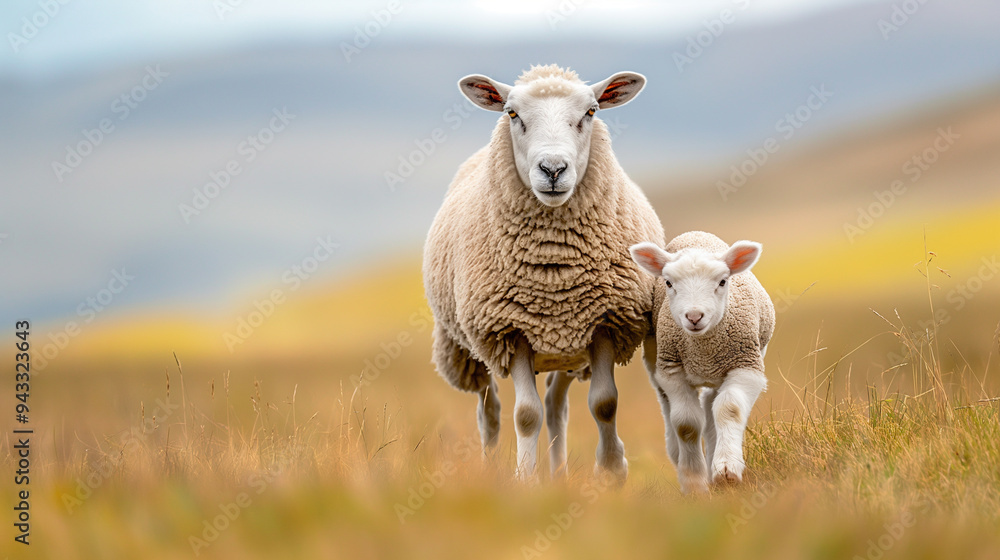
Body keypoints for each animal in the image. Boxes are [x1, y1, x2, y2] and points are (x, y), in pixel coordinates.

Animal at [423, 64, 664, 482]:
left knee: (555, 405)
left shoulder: (603, 323)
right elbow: (525, 414)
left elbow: (604, 404)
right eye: (512, 113)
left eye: (591, 112)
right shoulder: (510, 329)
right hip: (474, 347)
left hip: (565, 347)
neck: (554, 271)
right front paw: (525, 479)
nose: (553, 169)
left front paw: (612, 472)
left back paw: (560, 474)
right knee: (490, 411)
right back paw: (491, 467)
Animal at [630, 231, 774, 494]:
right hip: (656, 359)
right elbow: (686, 423)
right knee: (671, 407)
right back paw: (679, 455)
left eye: (723, 282)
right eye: (668, 283)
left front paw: (726, 469)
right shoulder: (671, 370)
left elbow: (730, 408)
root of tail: (696, 234)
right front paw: (695, 484)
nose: (694, 317)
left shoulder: (746, 366)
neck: (703, 350)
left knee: (712, 404)